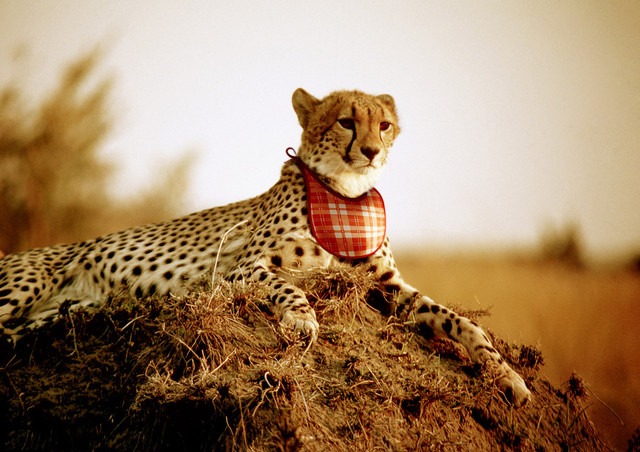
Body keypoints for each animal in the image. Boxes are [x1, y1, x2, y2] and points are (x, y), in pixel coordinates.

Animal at [0, 88, 531, 407]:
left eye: (383, 125)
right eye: (345, 121)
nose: (371, 151)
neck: (346, 195)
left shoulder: (386, 284)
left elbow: (458, 321)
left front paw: (507, 375)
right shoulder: (235, 270)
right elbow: (286, 285)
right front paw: (302, 319)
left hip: (55, 315)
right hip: (24, 287)